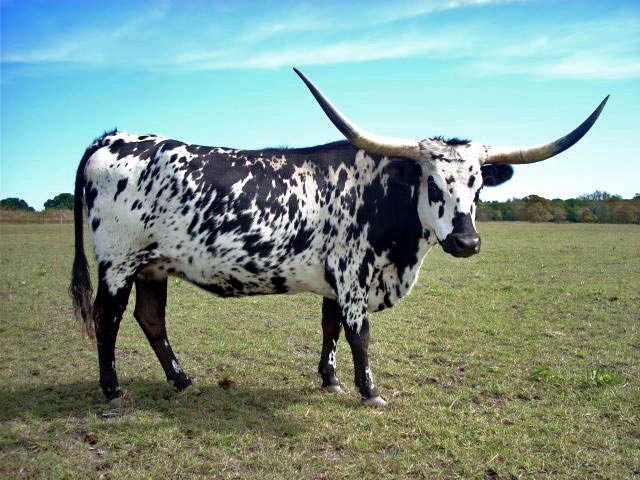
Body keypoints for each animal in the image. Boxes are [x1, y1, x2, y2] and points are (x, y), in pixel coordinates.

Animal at [70, 68, 608, 407]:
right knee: (108, 318)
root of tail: (112, 138)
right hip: (118, 263)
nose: (467, 243)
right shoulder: (353, 277)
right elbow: (357, 333)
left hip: (153, 265)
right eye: (433, 184)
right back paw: (112, 390)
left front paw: (329, 381)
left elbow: (328, 327)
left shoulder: (333, 279)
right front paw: (370, 391)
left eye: (477, 187)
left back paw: (182, 381)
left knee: (150, 319)